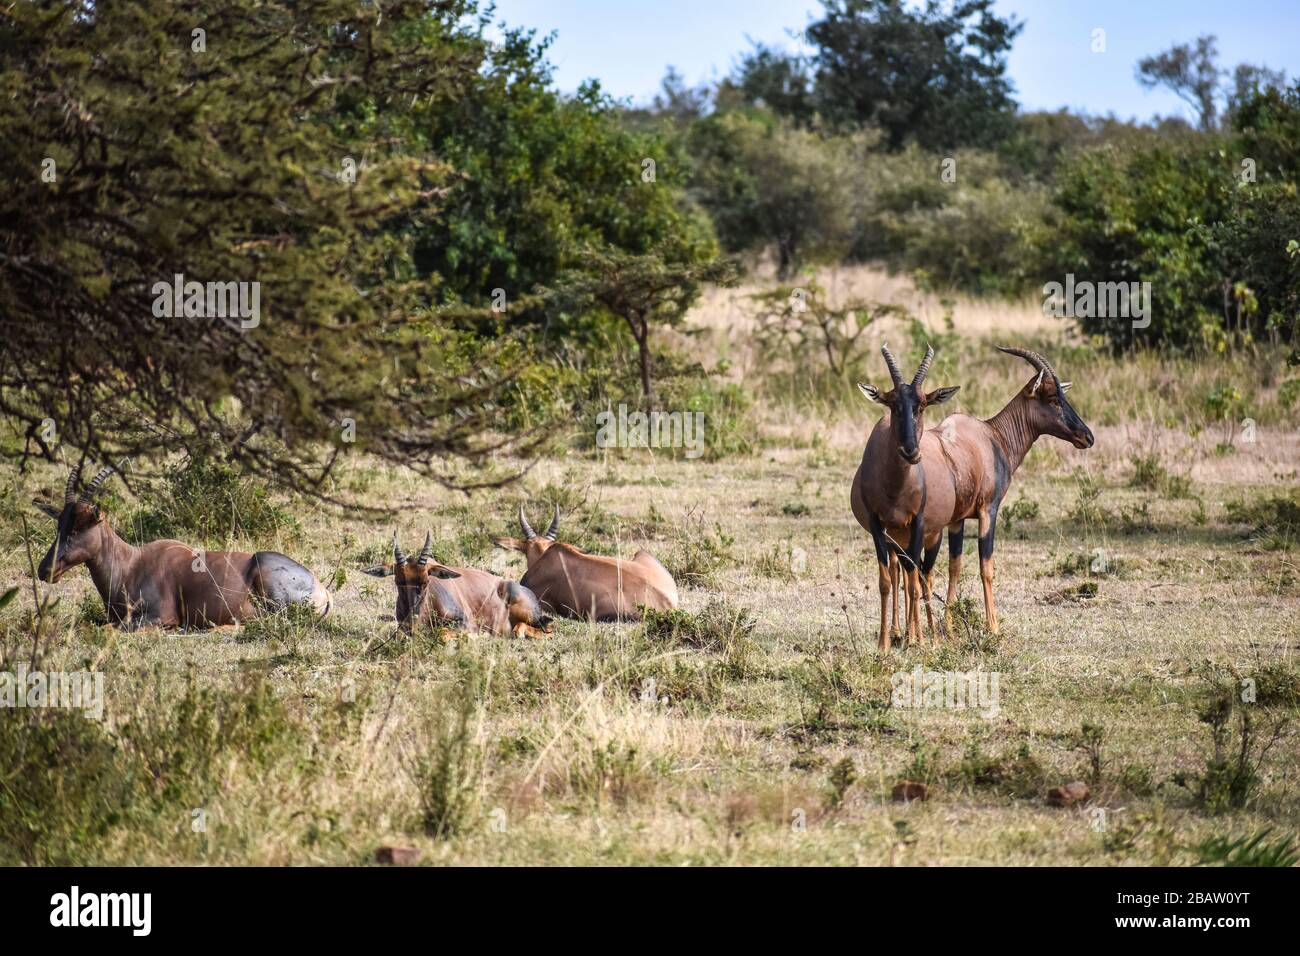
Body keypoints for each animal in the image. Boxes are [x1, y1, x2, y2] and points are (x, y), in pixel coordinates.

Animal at [34, 468, 332, 632]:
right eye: (60, 524)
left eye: (81, 526)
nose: (45, 570)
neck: (132, 563)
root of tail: (322, 588)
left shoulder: (161, 616)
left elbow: (110, 629)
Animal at [361, 528, 553, 639]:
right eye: (398, 582)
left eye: (426, 582)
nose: (413, 624)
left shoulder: (466, 622)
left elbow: (444, 634)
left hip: (530, 616)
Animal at [847, 343, 961, 650]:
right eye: (893, 405)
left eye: (922, 405)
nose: (911, 452)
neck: (896, 486)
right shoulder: (877, 526)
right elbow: (886, 581)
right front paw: (883, 643)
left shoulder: (918, 523)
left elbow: (914, 582)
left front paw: (918, 640)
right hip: (896, 537)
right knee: (903, 572)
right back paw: (901, 633)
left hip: (928, 536)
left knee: (922, 576)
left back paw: (925, 634)